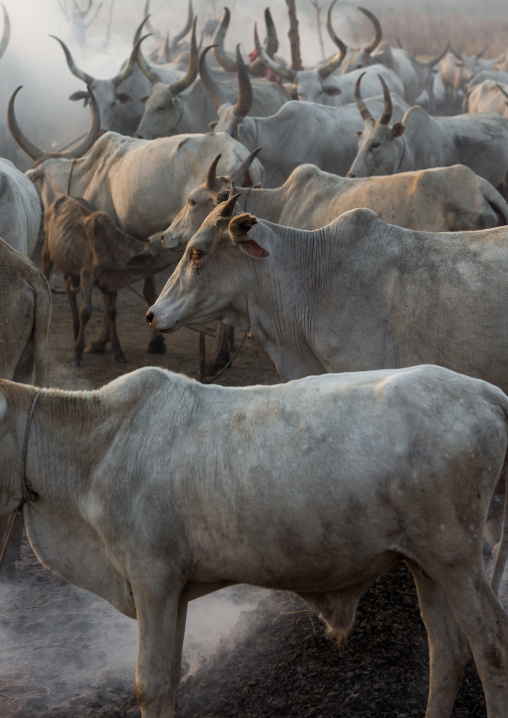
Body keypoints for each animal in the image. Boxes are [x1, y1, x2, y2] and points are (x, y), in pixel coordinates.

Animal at [0, 364, 507, 716]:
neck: (95, 447)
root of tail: (487, 391)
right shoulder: (174, 590)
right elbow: (172, 678)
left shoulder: (152, 578)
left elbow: (151, 685)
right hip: (428, 562)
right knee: (447, 653)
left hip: (455, 556)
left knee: (491, 648)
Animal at [42, 195, 179, 366]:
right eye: (165, 243)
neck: (112, 248)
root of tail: (64, 197)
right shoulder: (87, 274)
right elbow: (85, 312)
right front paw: (78, 354)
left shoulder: (111, 282)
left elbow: (111, 312)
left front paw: (118, 352)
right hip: (48, 252)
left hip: (69, 264)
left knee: (69, 287)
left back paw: (76, 331)